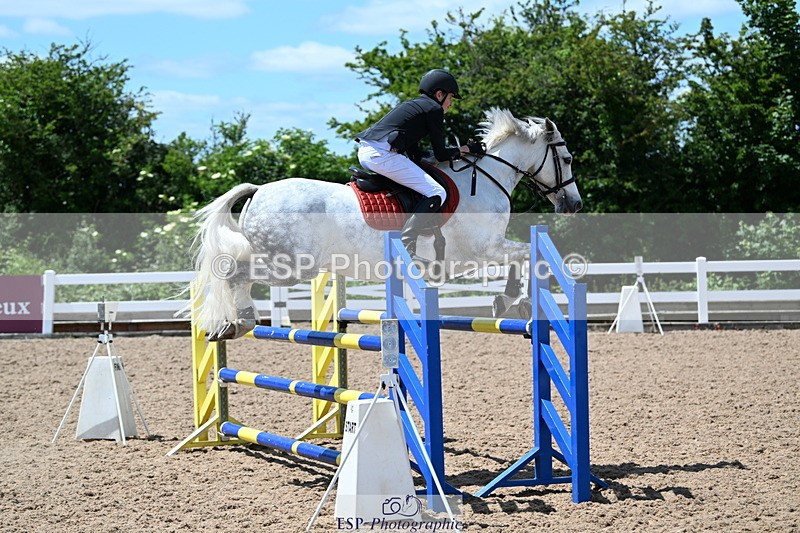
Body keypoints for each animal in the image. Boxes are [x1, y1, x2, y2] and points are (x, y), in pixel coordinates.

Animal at [192, 108, 582, 340]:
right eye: (566, 158)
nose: (574, 205)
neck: (485, 178)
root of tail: (259, 191)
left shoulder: (483, 252)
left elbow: (524, 256)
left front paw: (508, 301)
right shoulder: (481, 250)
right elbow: (525, 255)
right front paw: (513, 300)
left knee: (233, 270)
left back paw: (232, 324)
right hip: (291, 265)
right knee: (235, 273)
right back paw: (240, 321)